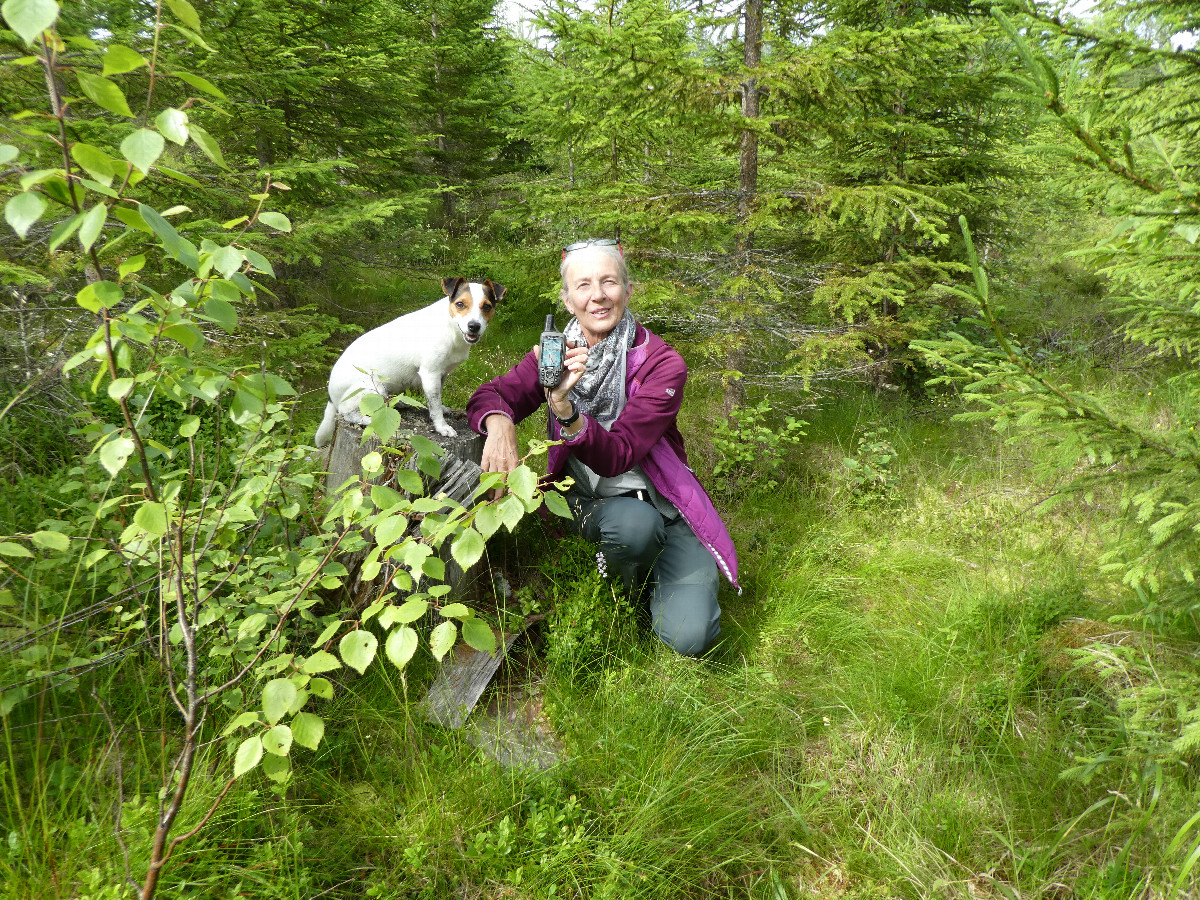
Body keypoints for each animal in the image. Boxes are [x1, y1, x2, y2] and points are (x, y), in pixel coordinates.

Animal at [312, 277, 504, 448]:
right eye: (460, 304)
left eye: (487, 306)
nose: (474, 326)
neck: (451, 328)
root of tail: (331, 396)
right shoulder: (430, 373)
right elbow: (434, 405)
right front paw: (442, 427)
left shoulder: (440, 374)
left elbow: (436, 400)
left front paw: (441, 409)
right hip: (371, 388)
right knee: (347, 412)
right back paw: (366, 419)